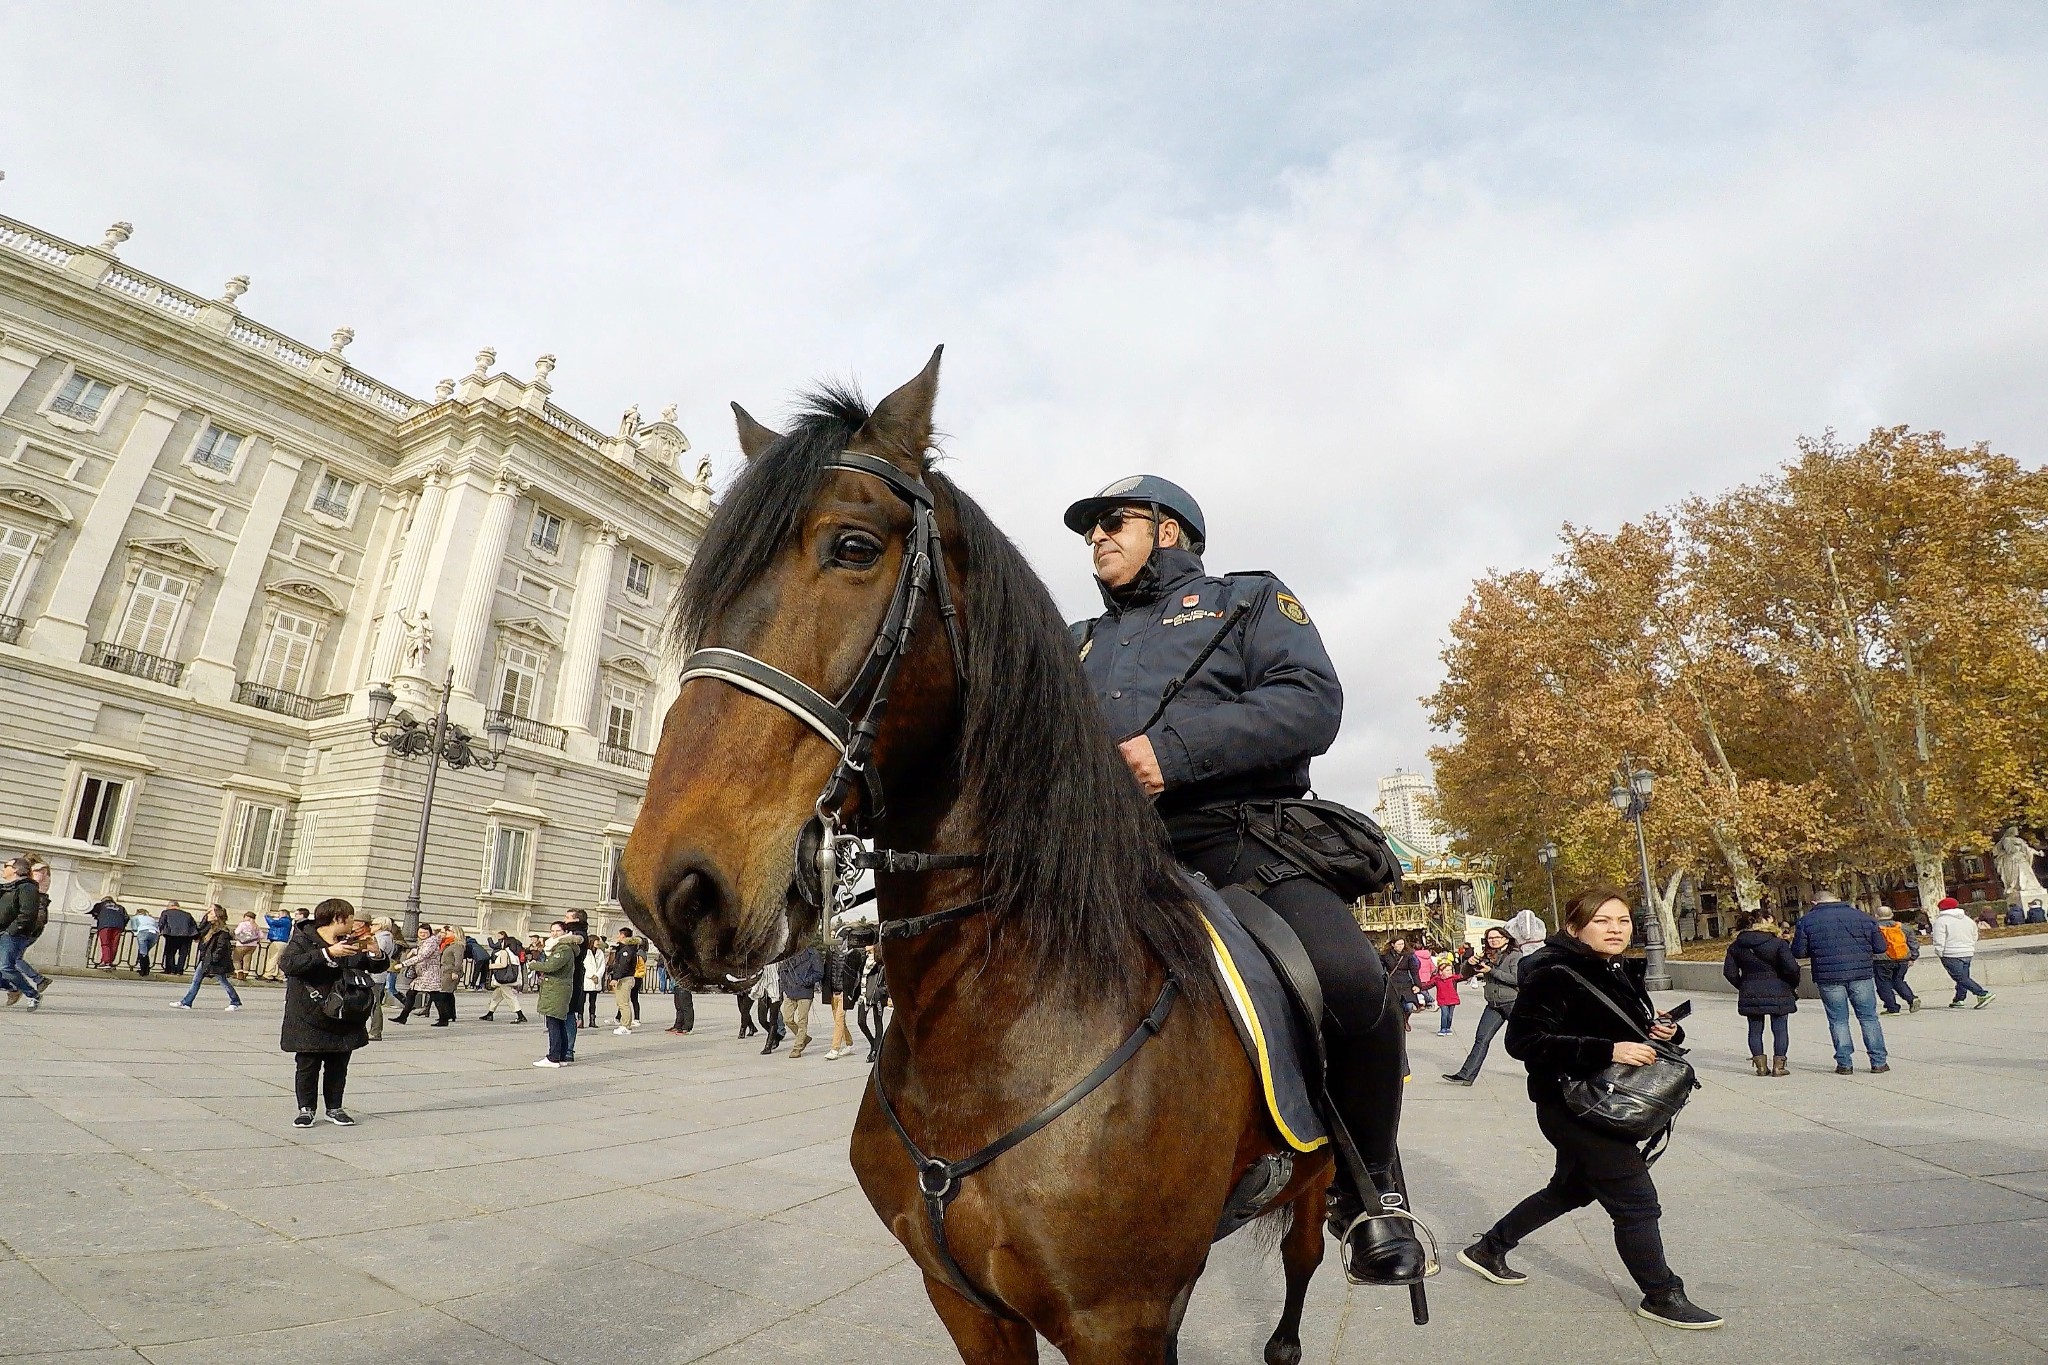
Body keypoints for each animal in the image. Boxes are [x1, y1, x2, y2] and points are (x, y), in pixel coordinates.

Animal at [614, 349, 1335, 1358]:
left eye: (853, 547)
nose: (670, 883)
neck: (998, 1025)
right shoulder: (966, 1300)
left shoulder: (1118, 1318)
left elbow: (1303, 689)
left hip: (1319, 1184)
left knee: (1305, 1267)